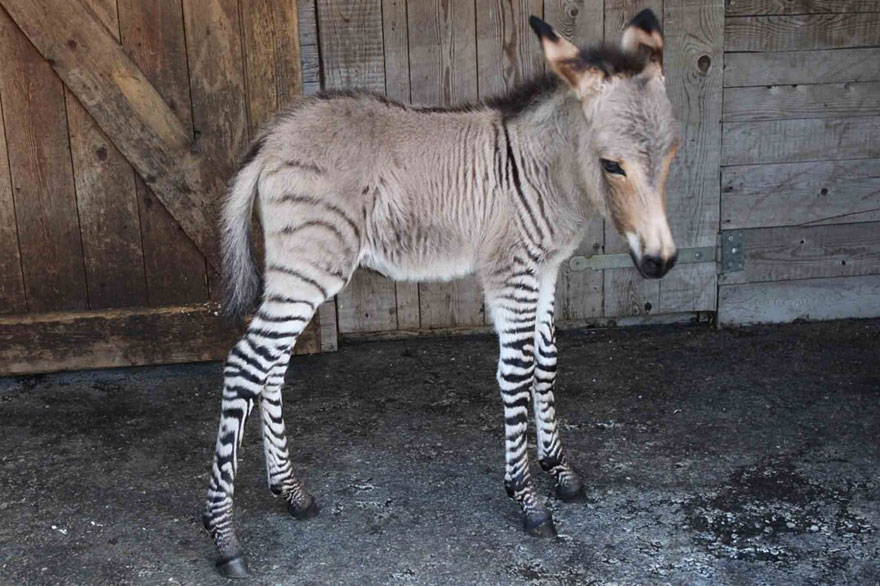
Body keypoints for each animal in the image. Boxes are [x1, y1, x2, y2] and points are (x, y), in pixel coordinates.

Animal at [204, 10, 679, 578]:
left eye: (671, 155)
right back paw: (224, 538)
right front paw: (528, 498)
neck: (547, 169)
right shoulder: (510, 273)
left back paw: (291, 493)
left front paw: (560, 471)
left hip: (294, 270)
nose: (660, 262)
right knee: (244, 366)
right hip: (310, 264)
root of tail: (273, 137)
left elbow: (546, 365)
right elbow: (516, 374)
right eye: (612, 165)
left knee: (270, 369)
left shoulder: (546, 271)